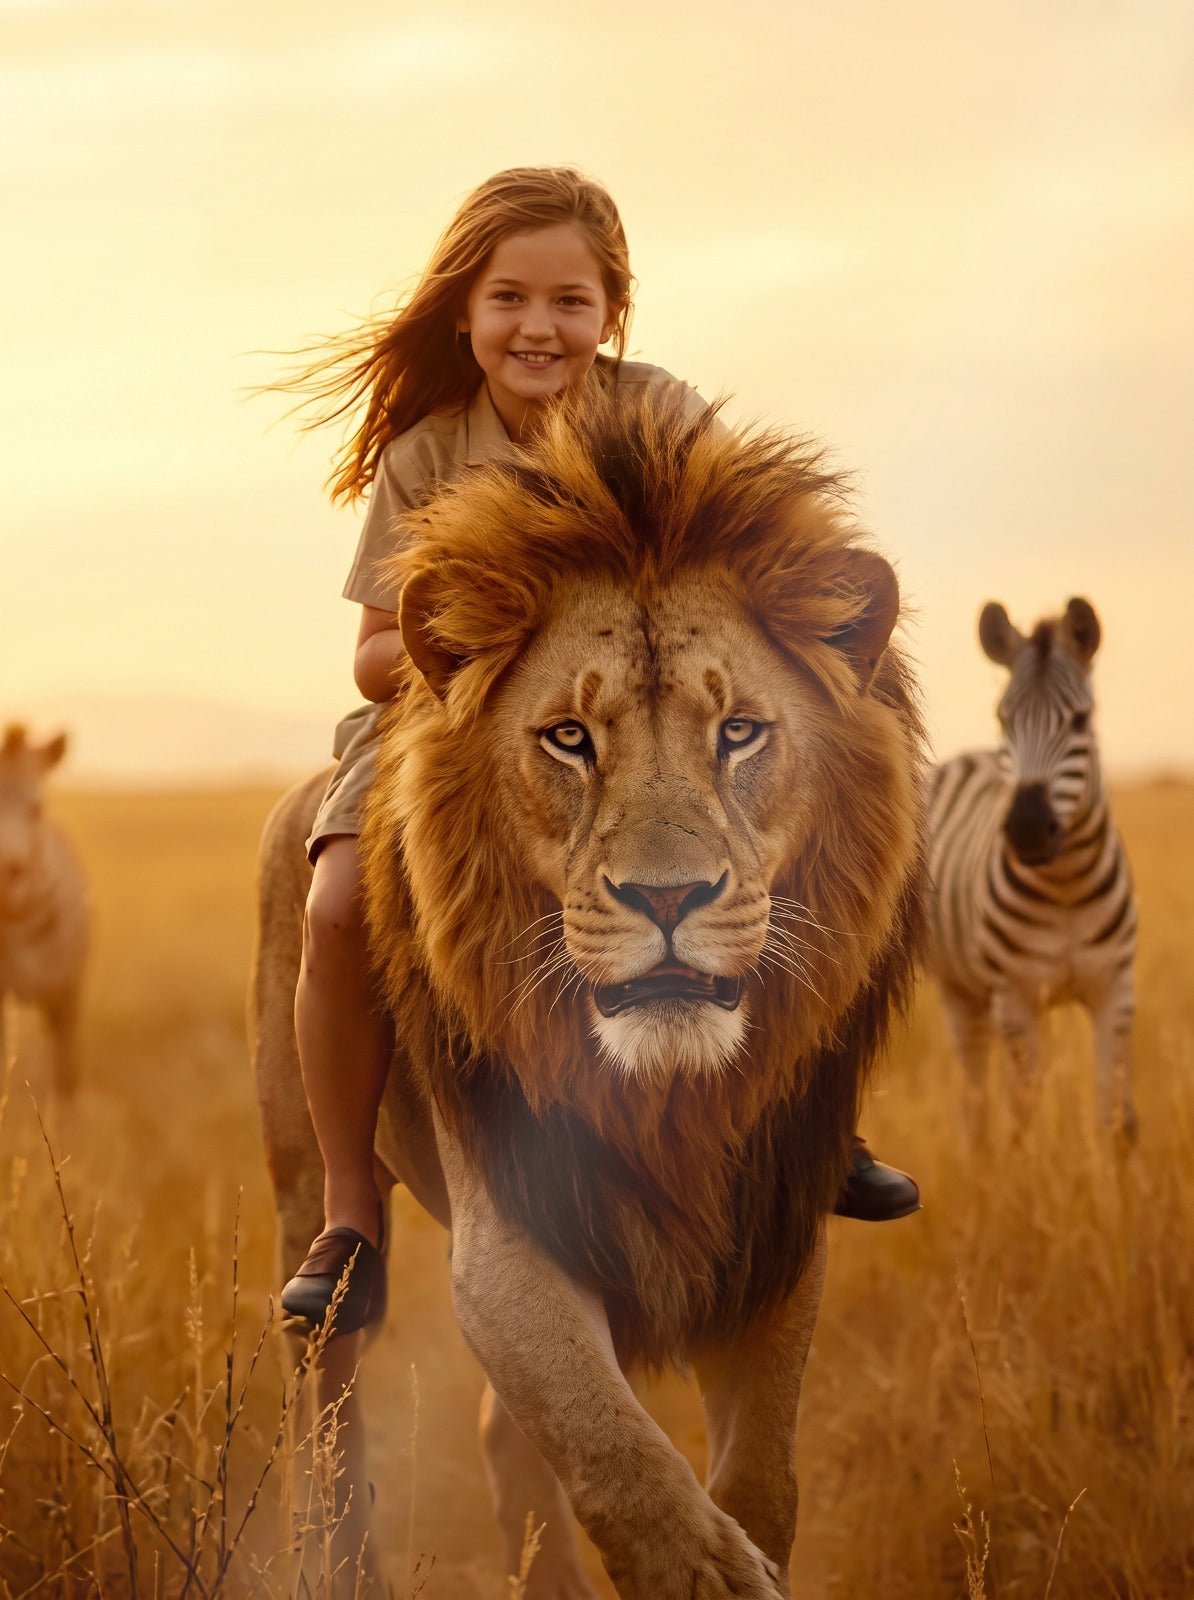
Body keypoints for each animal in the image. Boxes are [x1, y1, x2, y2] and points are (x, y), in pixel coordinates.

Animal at [251, 388, 926, 1600]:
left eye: (738, 732)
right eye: (569, 738)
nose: (668, 896)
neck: (669, 1101)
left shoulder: (776, 1233)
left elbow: (758, 1481)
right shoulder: (508, 1236)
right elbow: (621, 1463)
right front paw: (712, 1571)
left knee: (496, 1436)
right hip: (300, 1181)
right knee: (325, 1393)